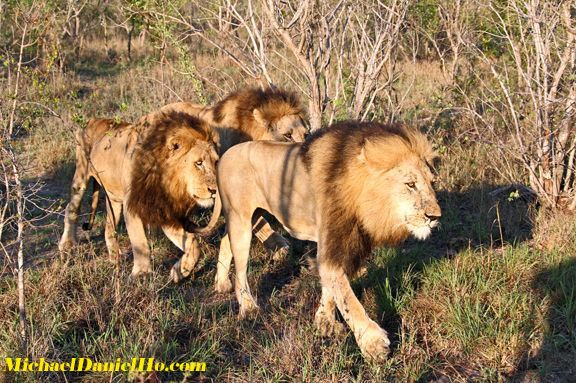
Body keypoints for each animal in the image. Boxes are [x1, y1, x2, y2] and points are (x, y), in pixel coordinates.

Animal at [58, 112, 220, 278]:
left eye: (216, 162)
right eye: (199, 163)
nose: (214, 190)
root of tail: (93, 120)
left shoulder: (163, 208)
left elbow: (192, 244)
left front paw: (180, 271)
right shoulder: (132, 204)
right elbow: (139, 241)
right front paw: (141, 274)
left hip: (114, 198)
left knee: (109, 225)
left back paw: (115, 258)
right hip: (81, 175)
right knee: (71, 207)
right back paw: (67, 245)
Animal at [202, 121, 440, 364]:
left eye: (433, 183)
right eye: (410, 184)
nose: (435, 216)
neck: (363, 200)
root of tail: (224, 156)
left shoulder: (342, 244)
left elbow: (332, 288)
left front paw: (324, 322)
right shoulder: (331, 245)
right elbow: (347, 299)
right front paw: (373, 343)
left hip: (248, 217)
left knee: (225, 242)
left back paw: (221, 283)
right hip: (240, 218)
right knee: (240, 271)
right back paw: (248, 308)